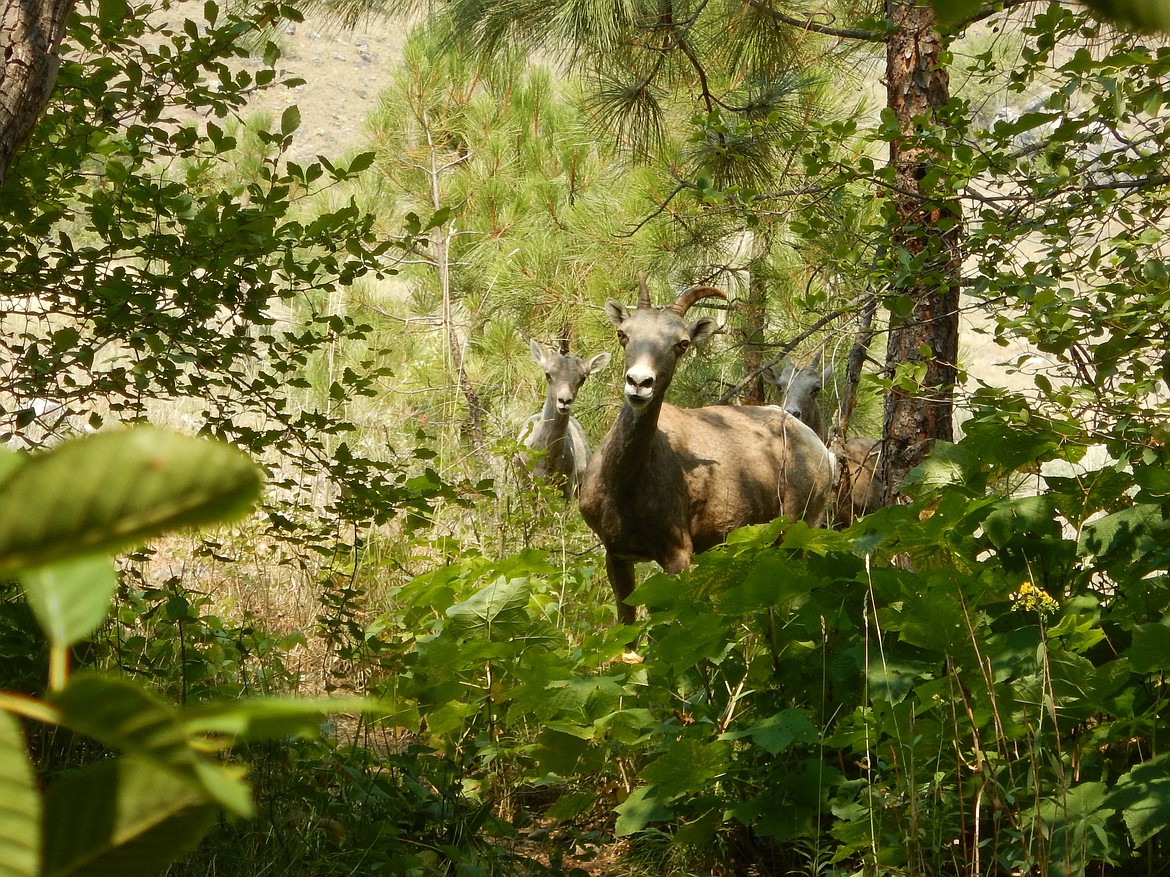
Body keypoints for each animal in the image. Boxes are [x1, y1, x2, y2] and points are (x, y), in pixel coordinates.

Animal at [519, 339, 613, 498]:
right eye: (548, 374)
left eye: (582, 378)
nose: (564, 401)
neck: (547, 459)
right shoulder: (526, 483)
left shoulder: (567, 485)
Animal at [580, 278, 837, 636]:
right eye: (623, 334)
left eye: (682, 343)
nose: (639, 383)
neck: (622, 486)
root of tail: (825, 453)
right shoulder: (615, 555)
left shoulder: (678, 554)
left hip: (799, 530)